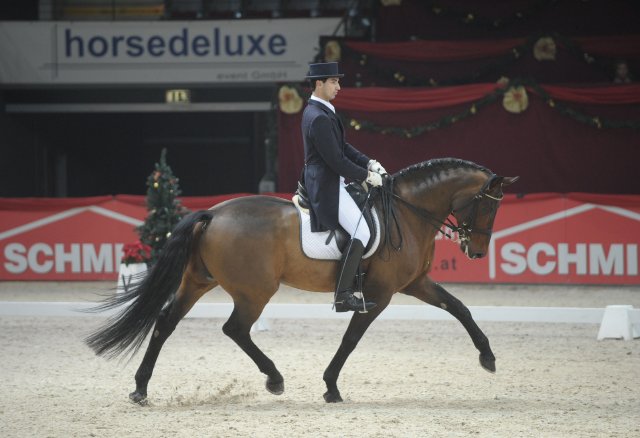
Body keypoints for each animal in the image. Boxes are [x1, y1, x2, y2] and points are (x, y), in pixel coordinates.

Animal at [85, 157, 516, 404]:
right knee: (234, 329)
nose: (477, 252)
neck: (407, 213)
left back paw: (141, 389)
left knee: (166, 322)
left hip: (199, 280)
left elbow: (459, 307)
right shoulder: (380, 295)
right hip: (255, 291)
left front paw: (488, 357)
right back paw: (274, 379)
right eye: (488, 207)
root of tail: (213, 213)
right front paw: (331, 387)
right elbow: (351, 338)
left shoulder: (414, 284)